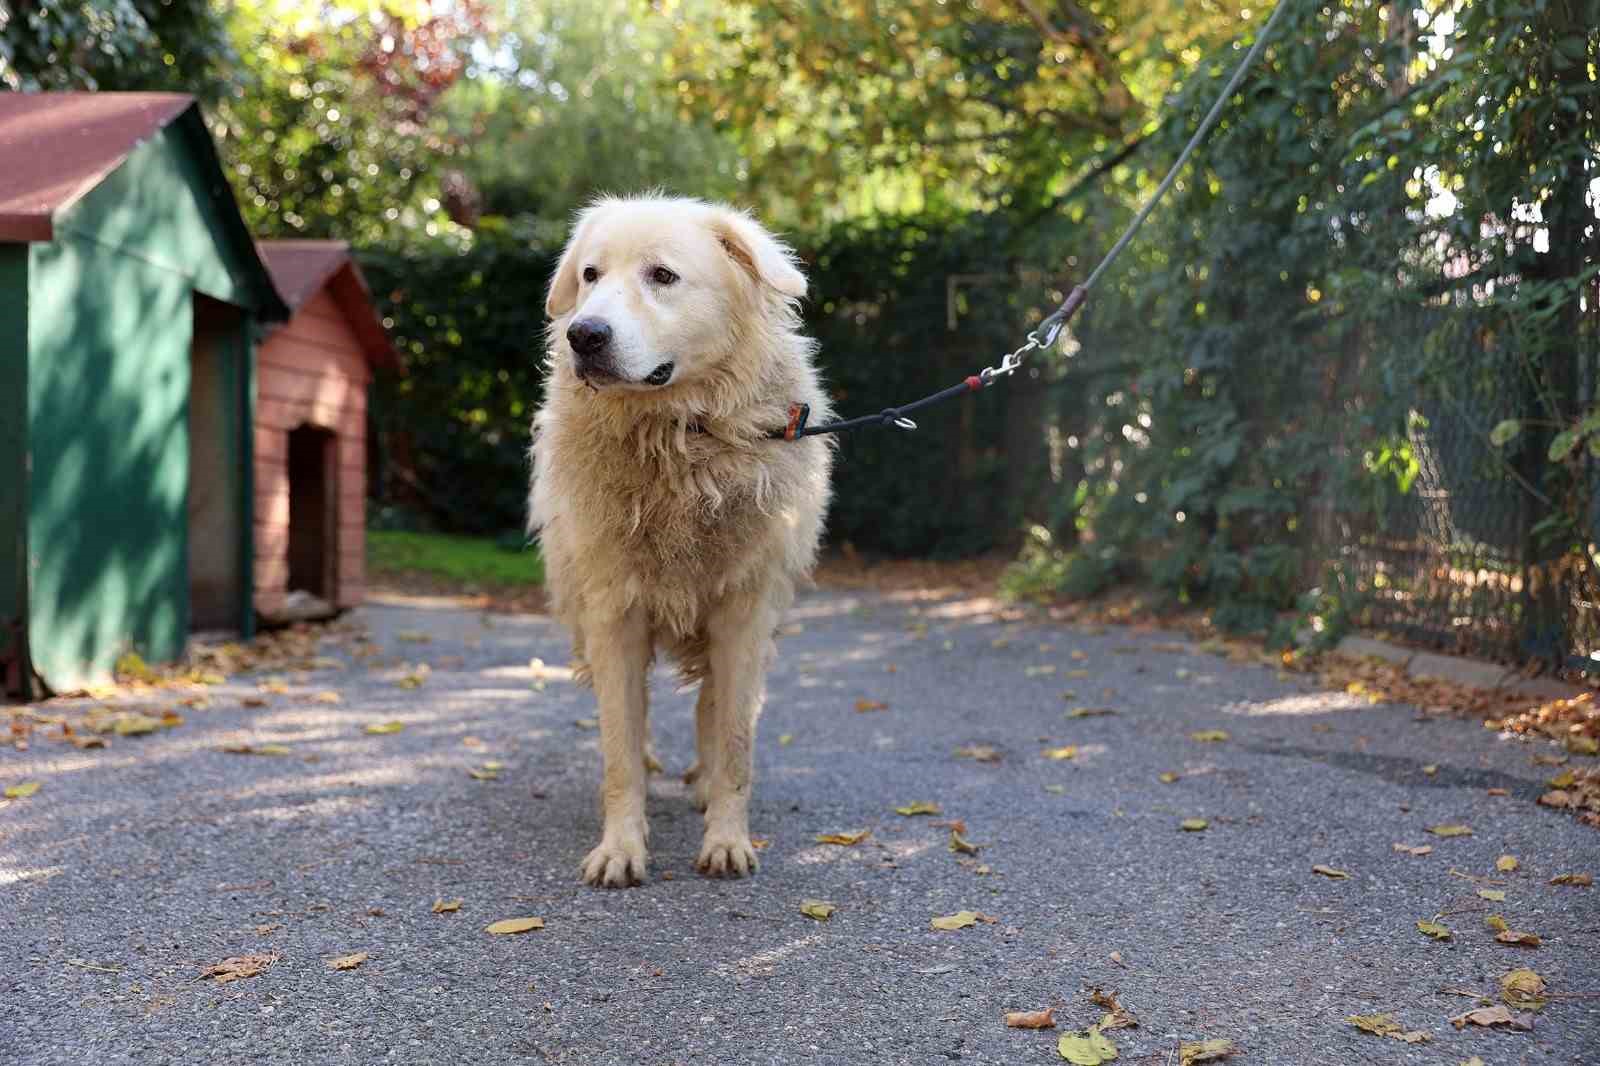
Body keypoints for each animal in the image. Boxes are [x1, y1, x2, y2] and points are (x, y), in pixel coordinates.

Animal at [537, 195, 838, 883]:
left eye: (663, 276)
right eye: (590, 275)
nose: (582, 335)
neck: (679, 438)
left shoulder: (743, 617)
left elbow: (734, 741)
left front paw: (726, 838)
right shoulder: (613, 616)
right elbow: (619, 747)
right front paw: (621, 847)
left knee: (714, 706)